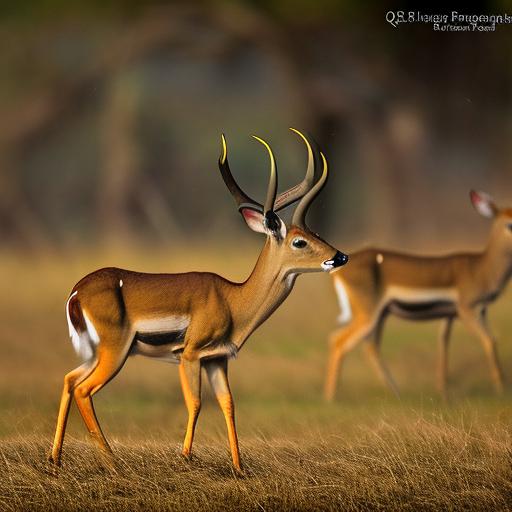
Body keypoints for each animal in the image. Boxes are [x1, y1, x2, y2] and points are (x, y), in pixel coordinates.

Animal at [49, 128, 348, 472]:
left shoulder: (217, 359)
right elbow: (195, 402)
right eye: (299, 242)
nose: (340, 257)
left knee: (69, 380)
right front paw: (186, 456)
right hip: (115, 352)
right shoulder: (189, 355)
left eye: (315, 234)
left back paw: (55, 458)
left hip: (96, 353)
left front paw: (238, 468)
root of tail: (76, 292)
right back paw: (112, 462)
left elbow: (228, 404)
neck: (233, 299)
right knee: (84, 389)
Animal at [324, 190, 512, 402]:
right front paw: (501, 389)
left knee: (369, 346)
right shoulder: (468, 310)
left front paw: (443, 391)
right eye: (509, 224)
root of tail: (339, 269)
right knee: (338, 341)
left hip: (380, 315)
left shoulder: (456, 314)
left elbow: (443, 345)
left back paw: (396, 393)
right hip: (368, 315)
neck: (481, 268)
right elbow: (490, 341)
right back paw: (331, 398)